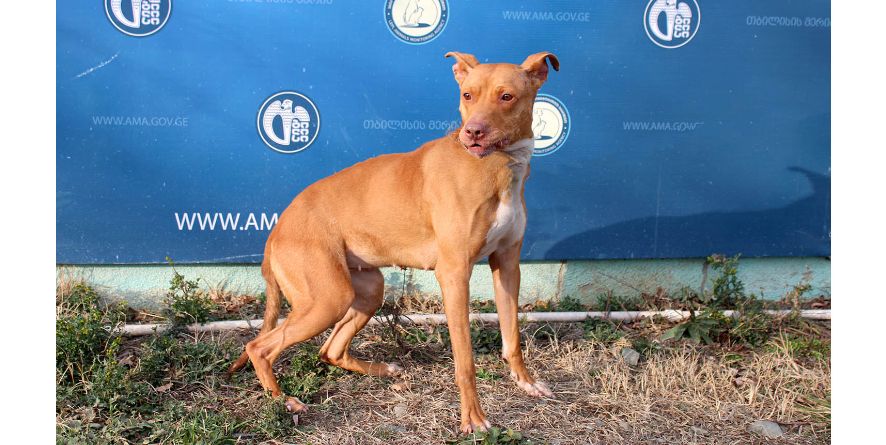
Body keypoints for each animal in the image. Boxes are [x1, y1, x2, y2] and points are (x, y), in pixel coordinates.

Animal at [229, 50, 560, 432]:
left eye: (507, 97)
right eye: (467, 95)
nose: (473, 132)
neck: (498, 166)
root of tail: (277, 229)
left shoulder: (506, 265)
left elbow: (512, 338)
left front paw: (526, 382)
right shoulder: (454, 274)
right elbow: (465, 360)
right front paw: (473, 417)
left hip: (366, 289)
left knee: (330, 349)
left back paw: (381, 370)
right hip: (328, 298)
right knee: (260, 347)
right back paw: (284, 400)